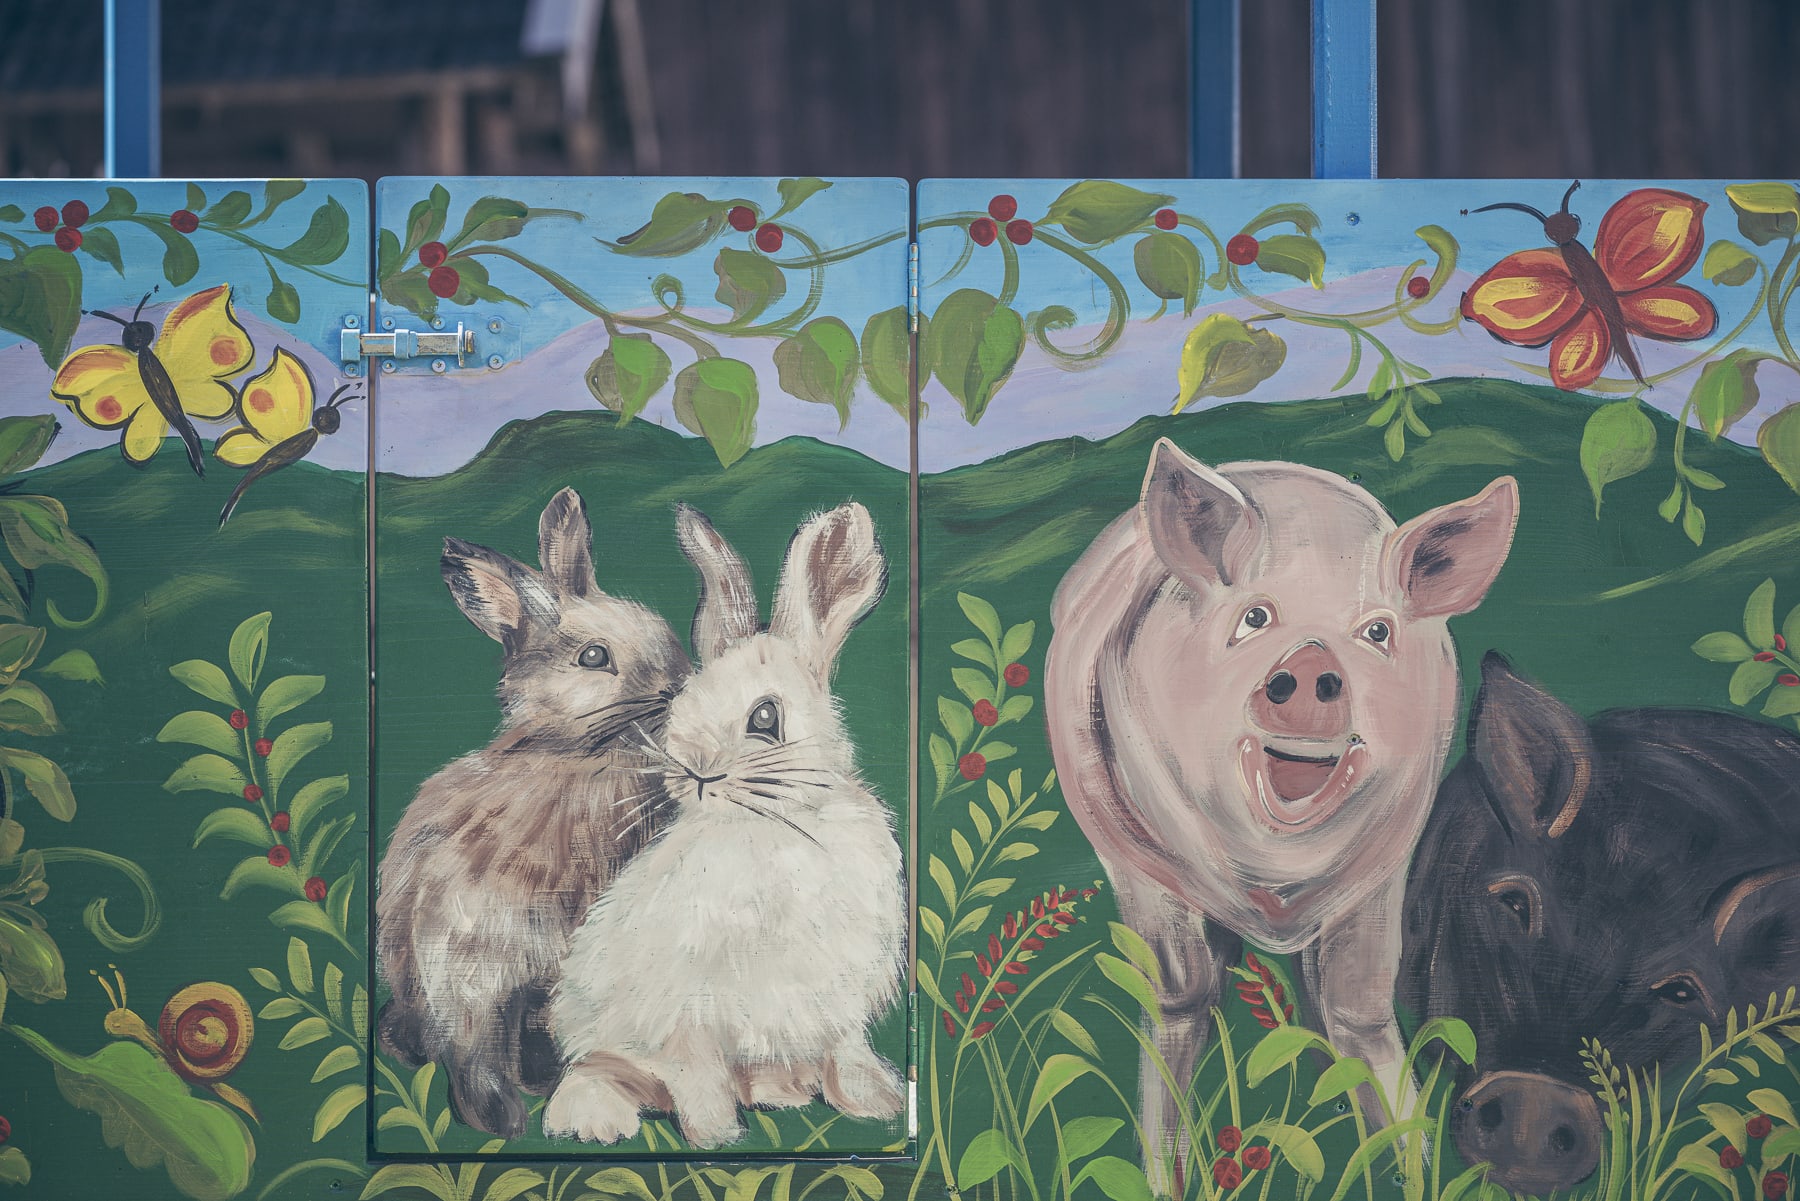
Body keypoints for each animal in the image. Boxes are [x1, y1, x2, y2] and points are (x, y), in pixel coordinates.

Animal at [376, 487, 691, 1139]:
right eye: (594, 657)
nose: (680, 686)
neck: (574, 749)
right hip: (474, 974)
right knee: (472, 1054)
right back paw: (502, 1120)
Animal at [543, 501, 906, 1149]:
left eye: (765, 718)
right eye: (681, 704)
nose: (692, 772)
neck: (772, 825)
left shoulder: (840, 1001)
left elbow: (847, 1051)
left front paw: (878, 1104)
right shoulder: (688, 1012)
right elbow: (696, 1072)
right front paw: (715, 1138)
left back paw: (782, 1092)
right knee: (608, 1070)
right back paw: (595, 1122)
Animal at [1045, 438, 1518, 1193]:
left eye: (1376, 630)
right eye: (1256, 618)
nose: (1311, 666)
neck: (1274, 877)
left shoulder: (1383, 866)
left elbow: (1360, 1008)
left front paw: (1413, 1167)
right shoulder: (1141, 866)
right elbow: (1178, 999)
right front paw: (1168, 1180)